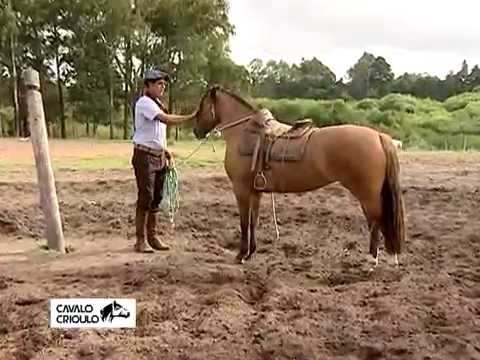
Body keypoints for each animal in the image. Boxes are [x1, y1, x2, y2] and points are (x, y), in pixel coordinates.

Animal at [191, 86, 404, 268]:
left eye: (202, 105)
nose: (196, 131)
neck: (244, 133)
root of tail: (378, 136)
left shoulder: (241, 189)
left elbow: (244, 222)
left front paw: (241, 255)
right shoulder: (255, 191)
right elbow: (253, 221)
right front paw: (251, 252)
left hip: (367, 195)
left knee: (377, 221)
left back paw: (373, 260)